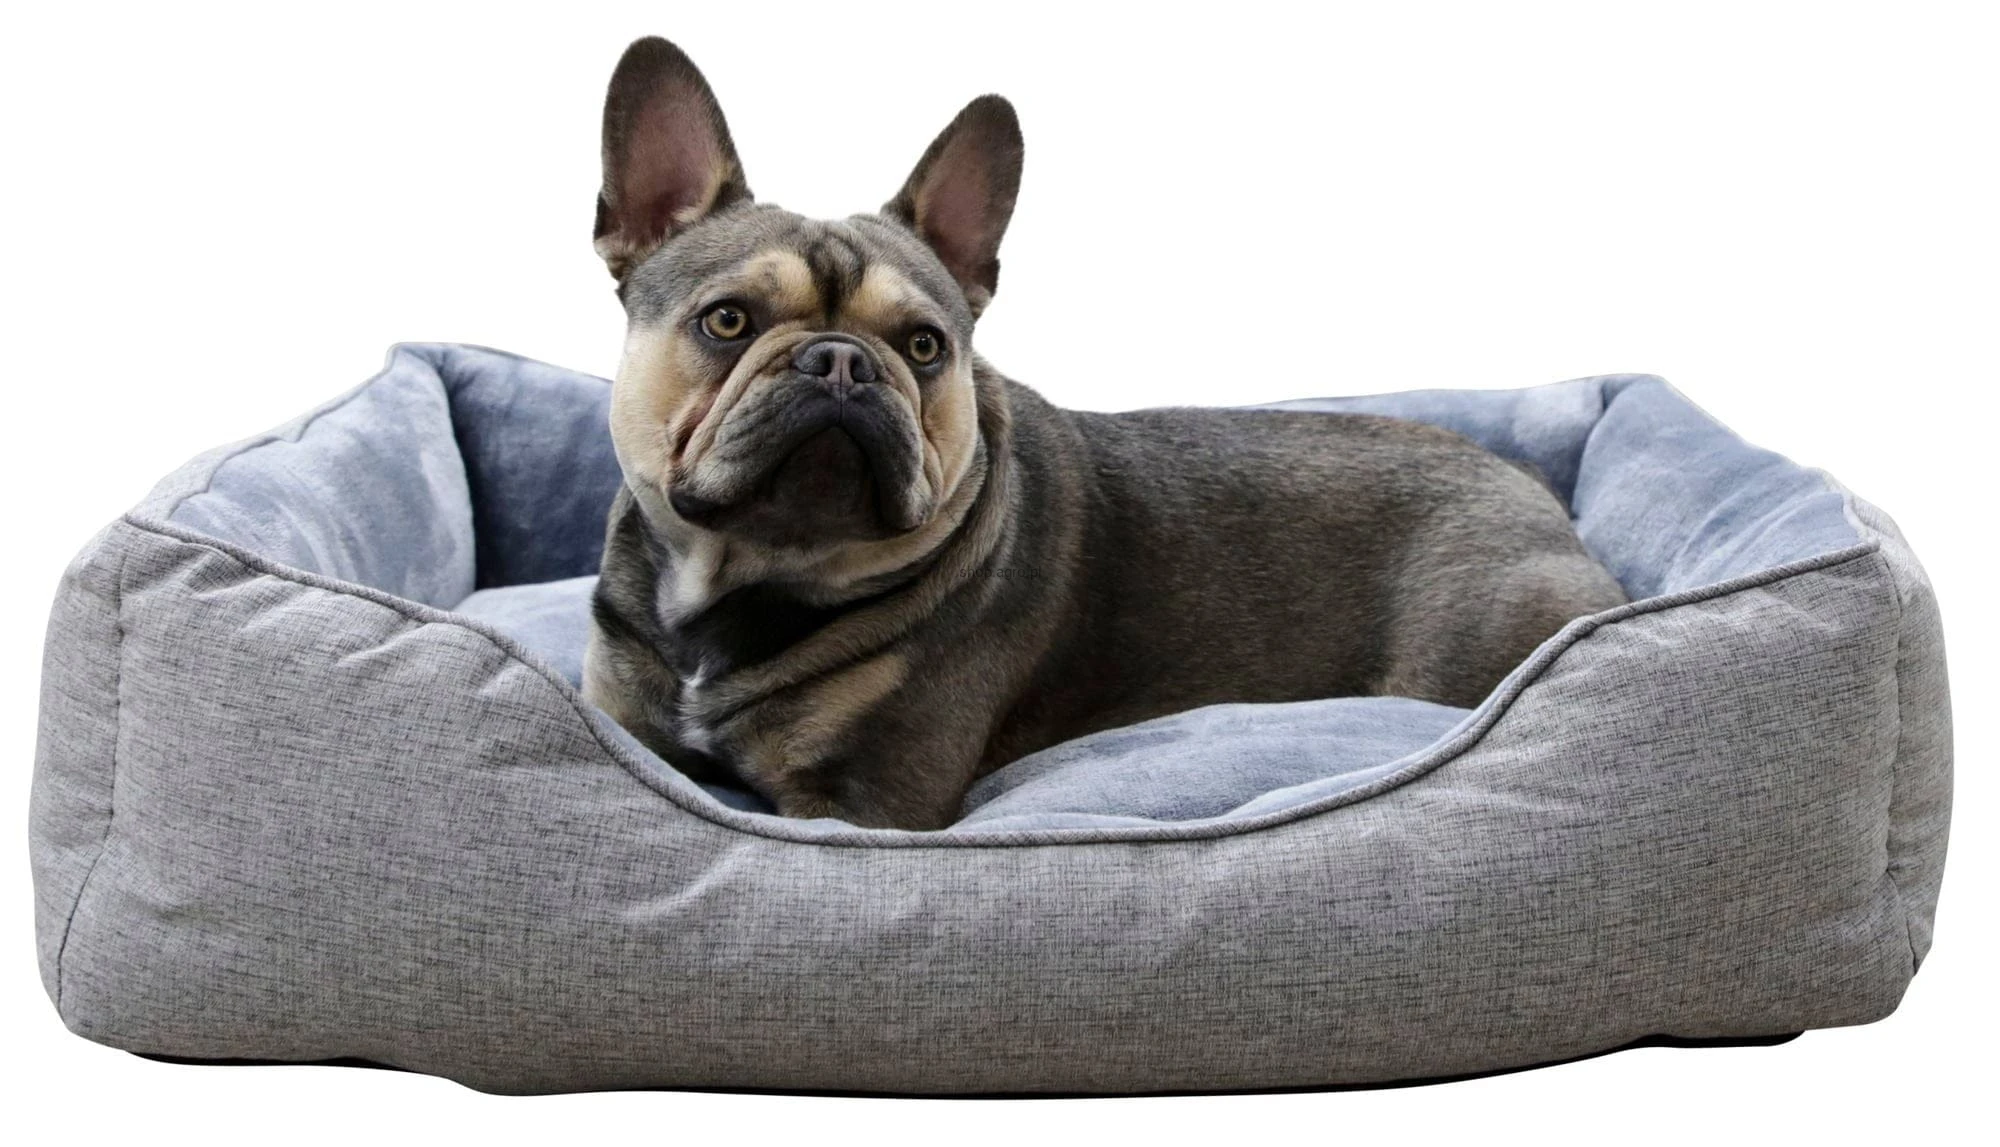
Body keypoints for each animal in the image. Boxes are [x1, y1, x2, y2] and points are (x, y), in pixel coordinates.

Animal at [582, 37, 1629, 829]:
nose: (842, 361)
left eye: (924, 345)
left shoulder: (859, 804)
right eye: (728, 321)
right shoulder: (617, 720)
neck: (756, 579)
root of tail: (1536, 493)